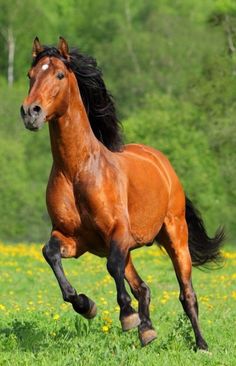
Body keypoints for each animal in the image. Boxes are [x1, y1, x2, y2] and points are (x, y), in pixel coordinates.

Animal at [19, 37, 223, 348]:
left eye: (59, 75)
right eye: (30, 75)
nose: (31, 112)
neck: (77, 171)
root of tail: (161, 161)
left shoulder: (118, 233)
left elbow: (112, 268)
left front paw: (126, 316)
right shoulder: (75, 239)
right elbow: (50, 253)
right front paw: (86, 305)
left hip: (175, 235)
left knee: (186, 293)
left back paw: (201, 345)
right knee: (143, 287)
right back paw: (147, 331)